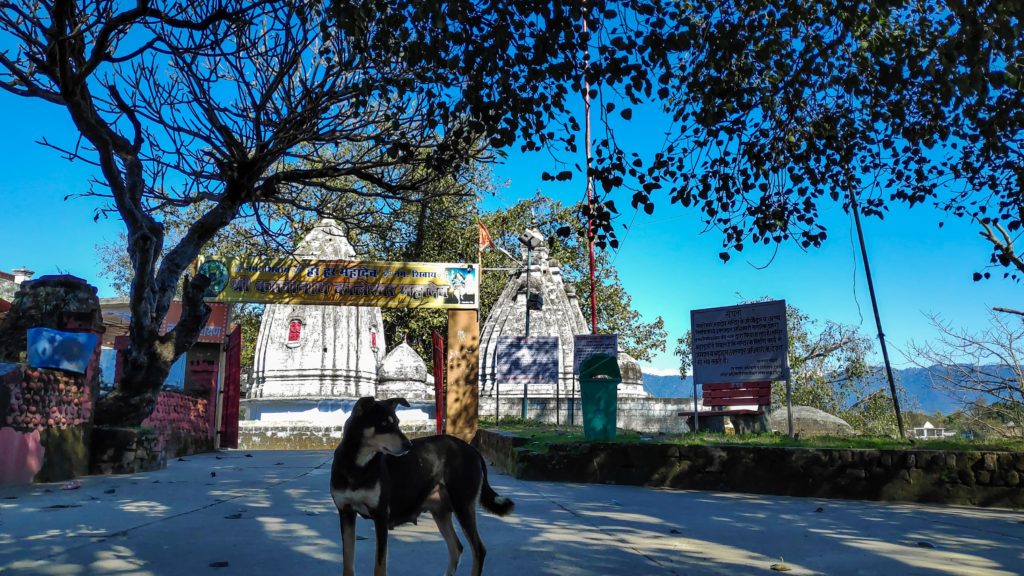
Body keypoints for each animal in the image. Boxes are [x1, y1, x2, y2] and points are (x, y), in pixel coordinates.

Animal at [331, 397, 516, 569]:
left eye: (397, 422)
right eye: (383, 423)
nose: (408, 445)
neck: (357, 466)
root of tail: (472, 449)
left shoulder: (381, 515)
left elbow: (379, 566)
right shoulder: (346, 513)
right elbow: (348, 564)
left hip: (463, 505)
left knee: (478, 550)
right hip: (441, 511)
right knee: (456, 548)